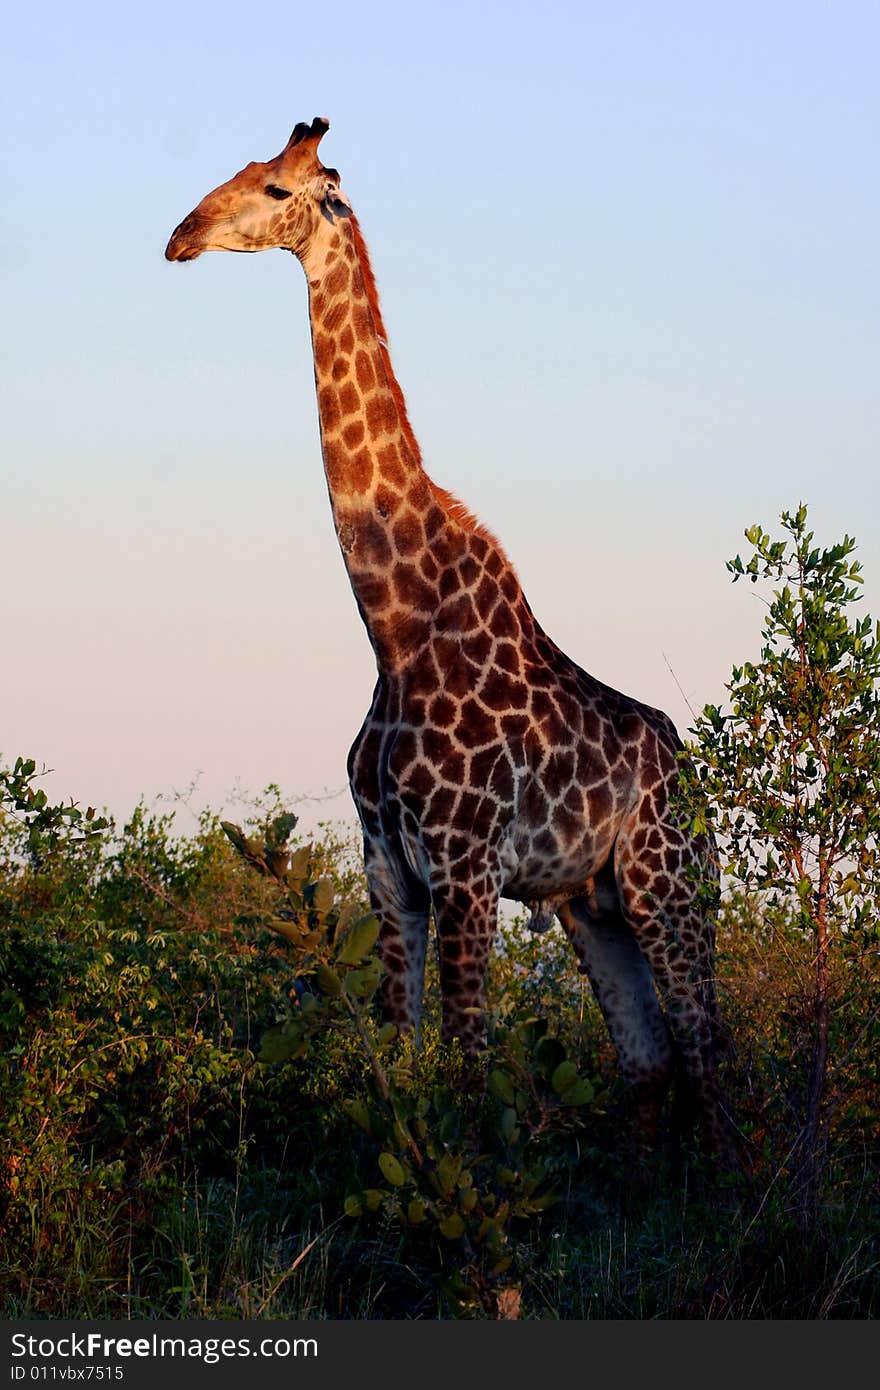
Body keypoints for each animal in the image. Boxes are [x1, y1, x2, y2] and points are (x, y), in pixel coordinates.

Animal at [164, 116, 728, 1150]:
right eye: (243, 170)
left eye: (275, 188)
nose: (181, 235)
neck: (395, 625)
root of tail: (690, 774)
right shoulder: (391, 872)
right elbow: (395, 1058)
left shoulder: (466, 868)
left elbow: (468, 1068)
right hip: (593, 907)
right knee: (649, 1063)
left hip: (668, 884)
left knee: (712, 1053)